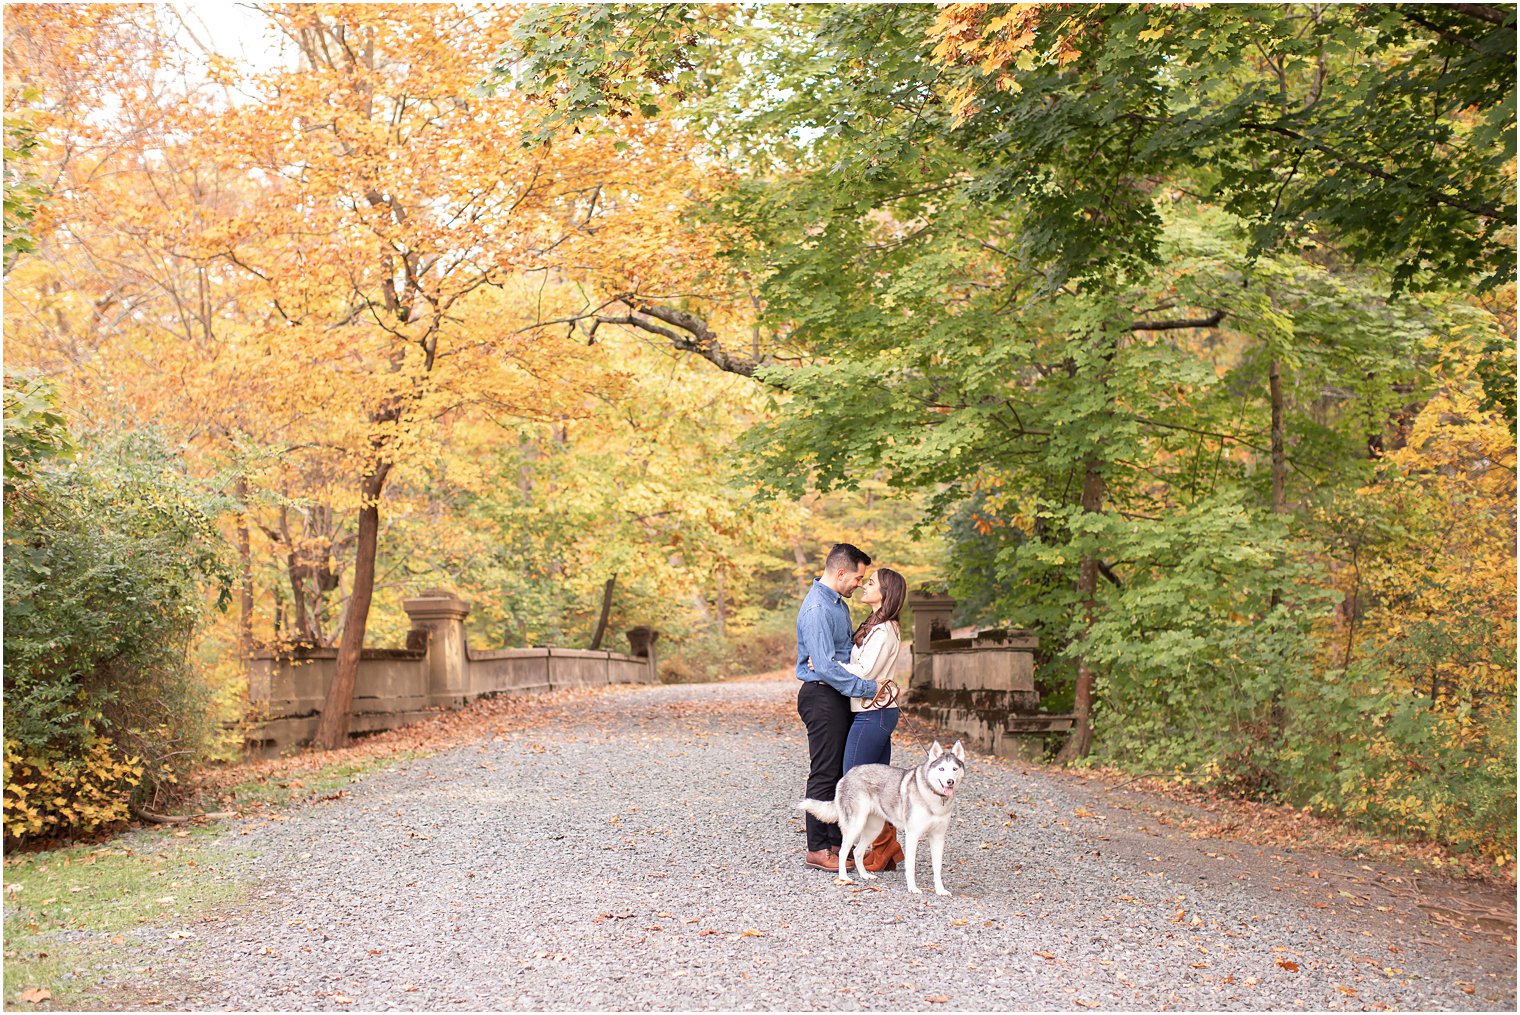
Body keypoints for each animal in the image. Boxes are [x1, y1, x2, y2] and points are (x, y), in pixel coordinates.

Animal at [802, 738, 966, 893]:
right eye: (941, 769)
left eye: (954, 769)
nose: (950, 781)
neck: (934, 798)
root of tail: (848, 774)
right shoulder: (912, 835)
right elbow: (911, 866)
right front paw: (912, 888)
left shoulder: (938, 838)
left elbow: (937, 869)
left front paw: (940, 890)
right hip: (856, 826)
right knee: (843, 852)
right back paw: (844, 878)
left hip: (874, 829)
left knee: (857, 852)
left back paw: (864, 875)